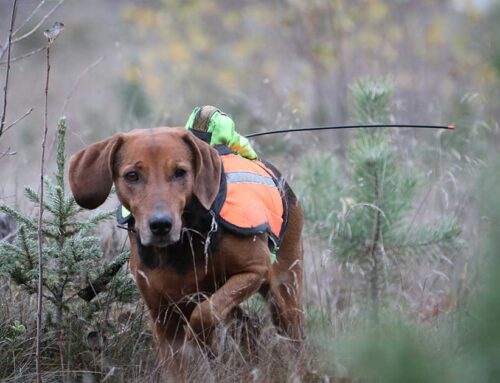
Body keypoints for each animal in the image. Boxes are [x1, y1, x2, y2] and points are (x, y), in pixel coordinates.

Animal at [69, 127, 304, 376]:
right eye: (132, 175)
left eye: (180, 172)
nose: (160, 224)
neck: (181, 245)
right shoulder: (163, 317)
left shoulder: (254, 270)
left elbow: (204, 314)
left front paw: (201, 339)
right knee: (248, 326)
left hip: (284, 294)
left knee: (292, 337)